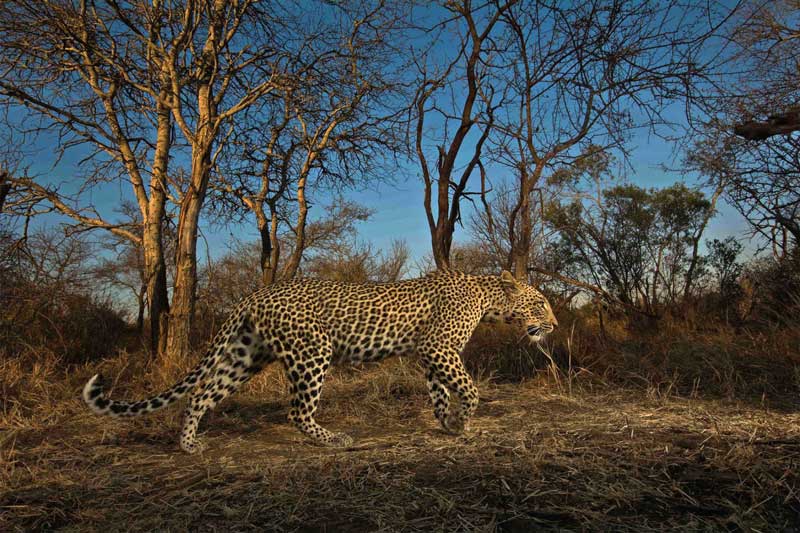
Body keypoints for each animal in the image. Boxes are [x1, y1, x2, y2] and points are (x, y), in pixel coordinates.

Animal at [81, 268, 556, 450]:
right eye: (540, 304)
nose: (553, 324)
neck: (488, 298)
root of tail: (256, 293)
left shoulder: (432, 354)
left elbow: (441, 392)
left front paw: (449, 424)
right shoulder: (438, 347)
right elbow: (469, 389)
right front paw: (463, 420)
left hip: (247, 356)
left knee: (201, 392)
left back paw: (188, 444)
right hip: (312, 351)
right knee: (296, 410)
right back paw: (332, 439)